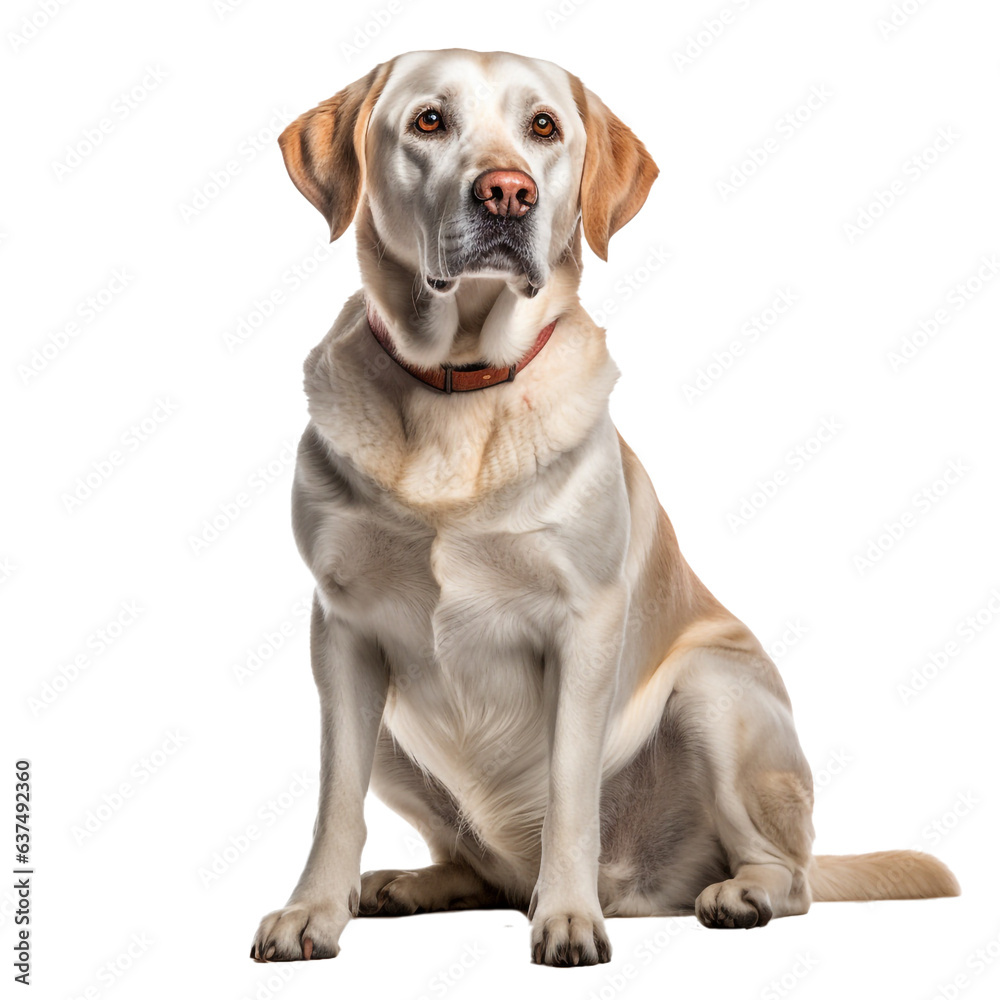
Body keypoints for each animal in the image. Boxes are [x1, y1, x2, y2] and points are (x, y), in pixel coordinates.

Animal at [250, 48, 952, 968]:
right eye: (429, 120)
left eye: (543, 127)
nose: (507, 192)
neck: (460, 386)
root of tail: (644, 886)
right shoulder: (341, 630)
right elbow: (338, 797)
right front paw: (312, 912)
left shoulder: (583, 625)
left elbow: (569, 789)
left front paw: (568, 918)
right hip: (399, 733)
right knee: (482, 866)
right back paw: (412, 884)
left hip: (713, 693)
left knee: (789, 875)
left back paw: (734, 894)